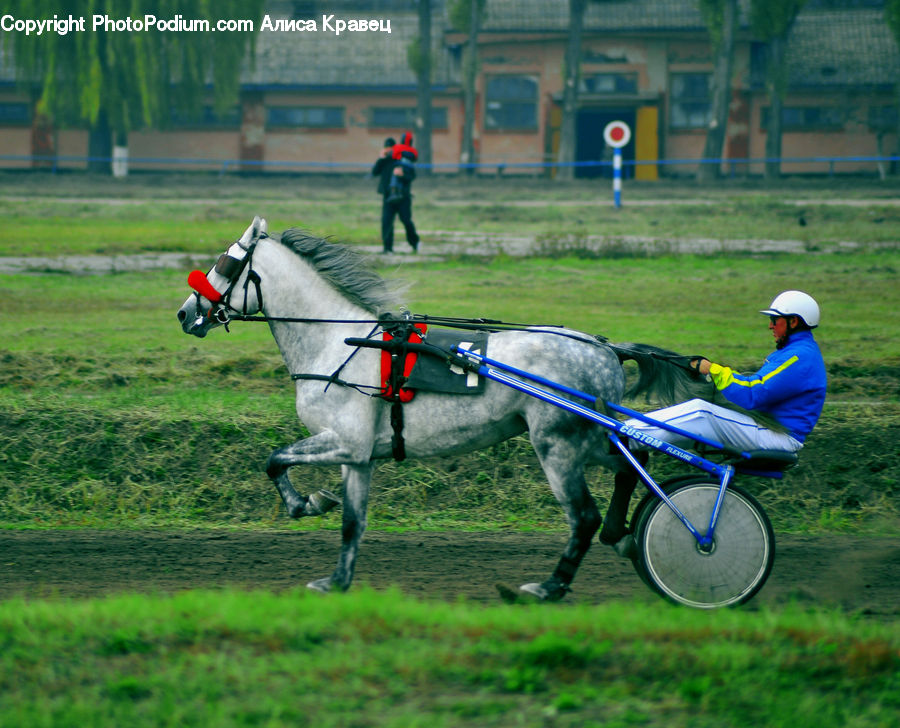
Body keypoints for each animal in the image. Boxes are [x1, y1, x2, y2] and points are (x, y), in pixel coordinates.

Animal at [176, 217, 706, 601]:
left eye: (225, 263)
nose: (185, 312)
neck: (339, 343)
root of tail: (605, 350)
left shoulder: (343, 440)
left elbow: (273, 460)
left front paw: (304, 503)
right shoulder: (358, 455)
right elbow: (352, 522)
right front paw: (336, 578)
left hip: (557, 445)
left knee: (584, 516)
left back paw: (550, 585)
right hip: (588, 439)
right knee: (631, 462)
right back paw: (621, 534)